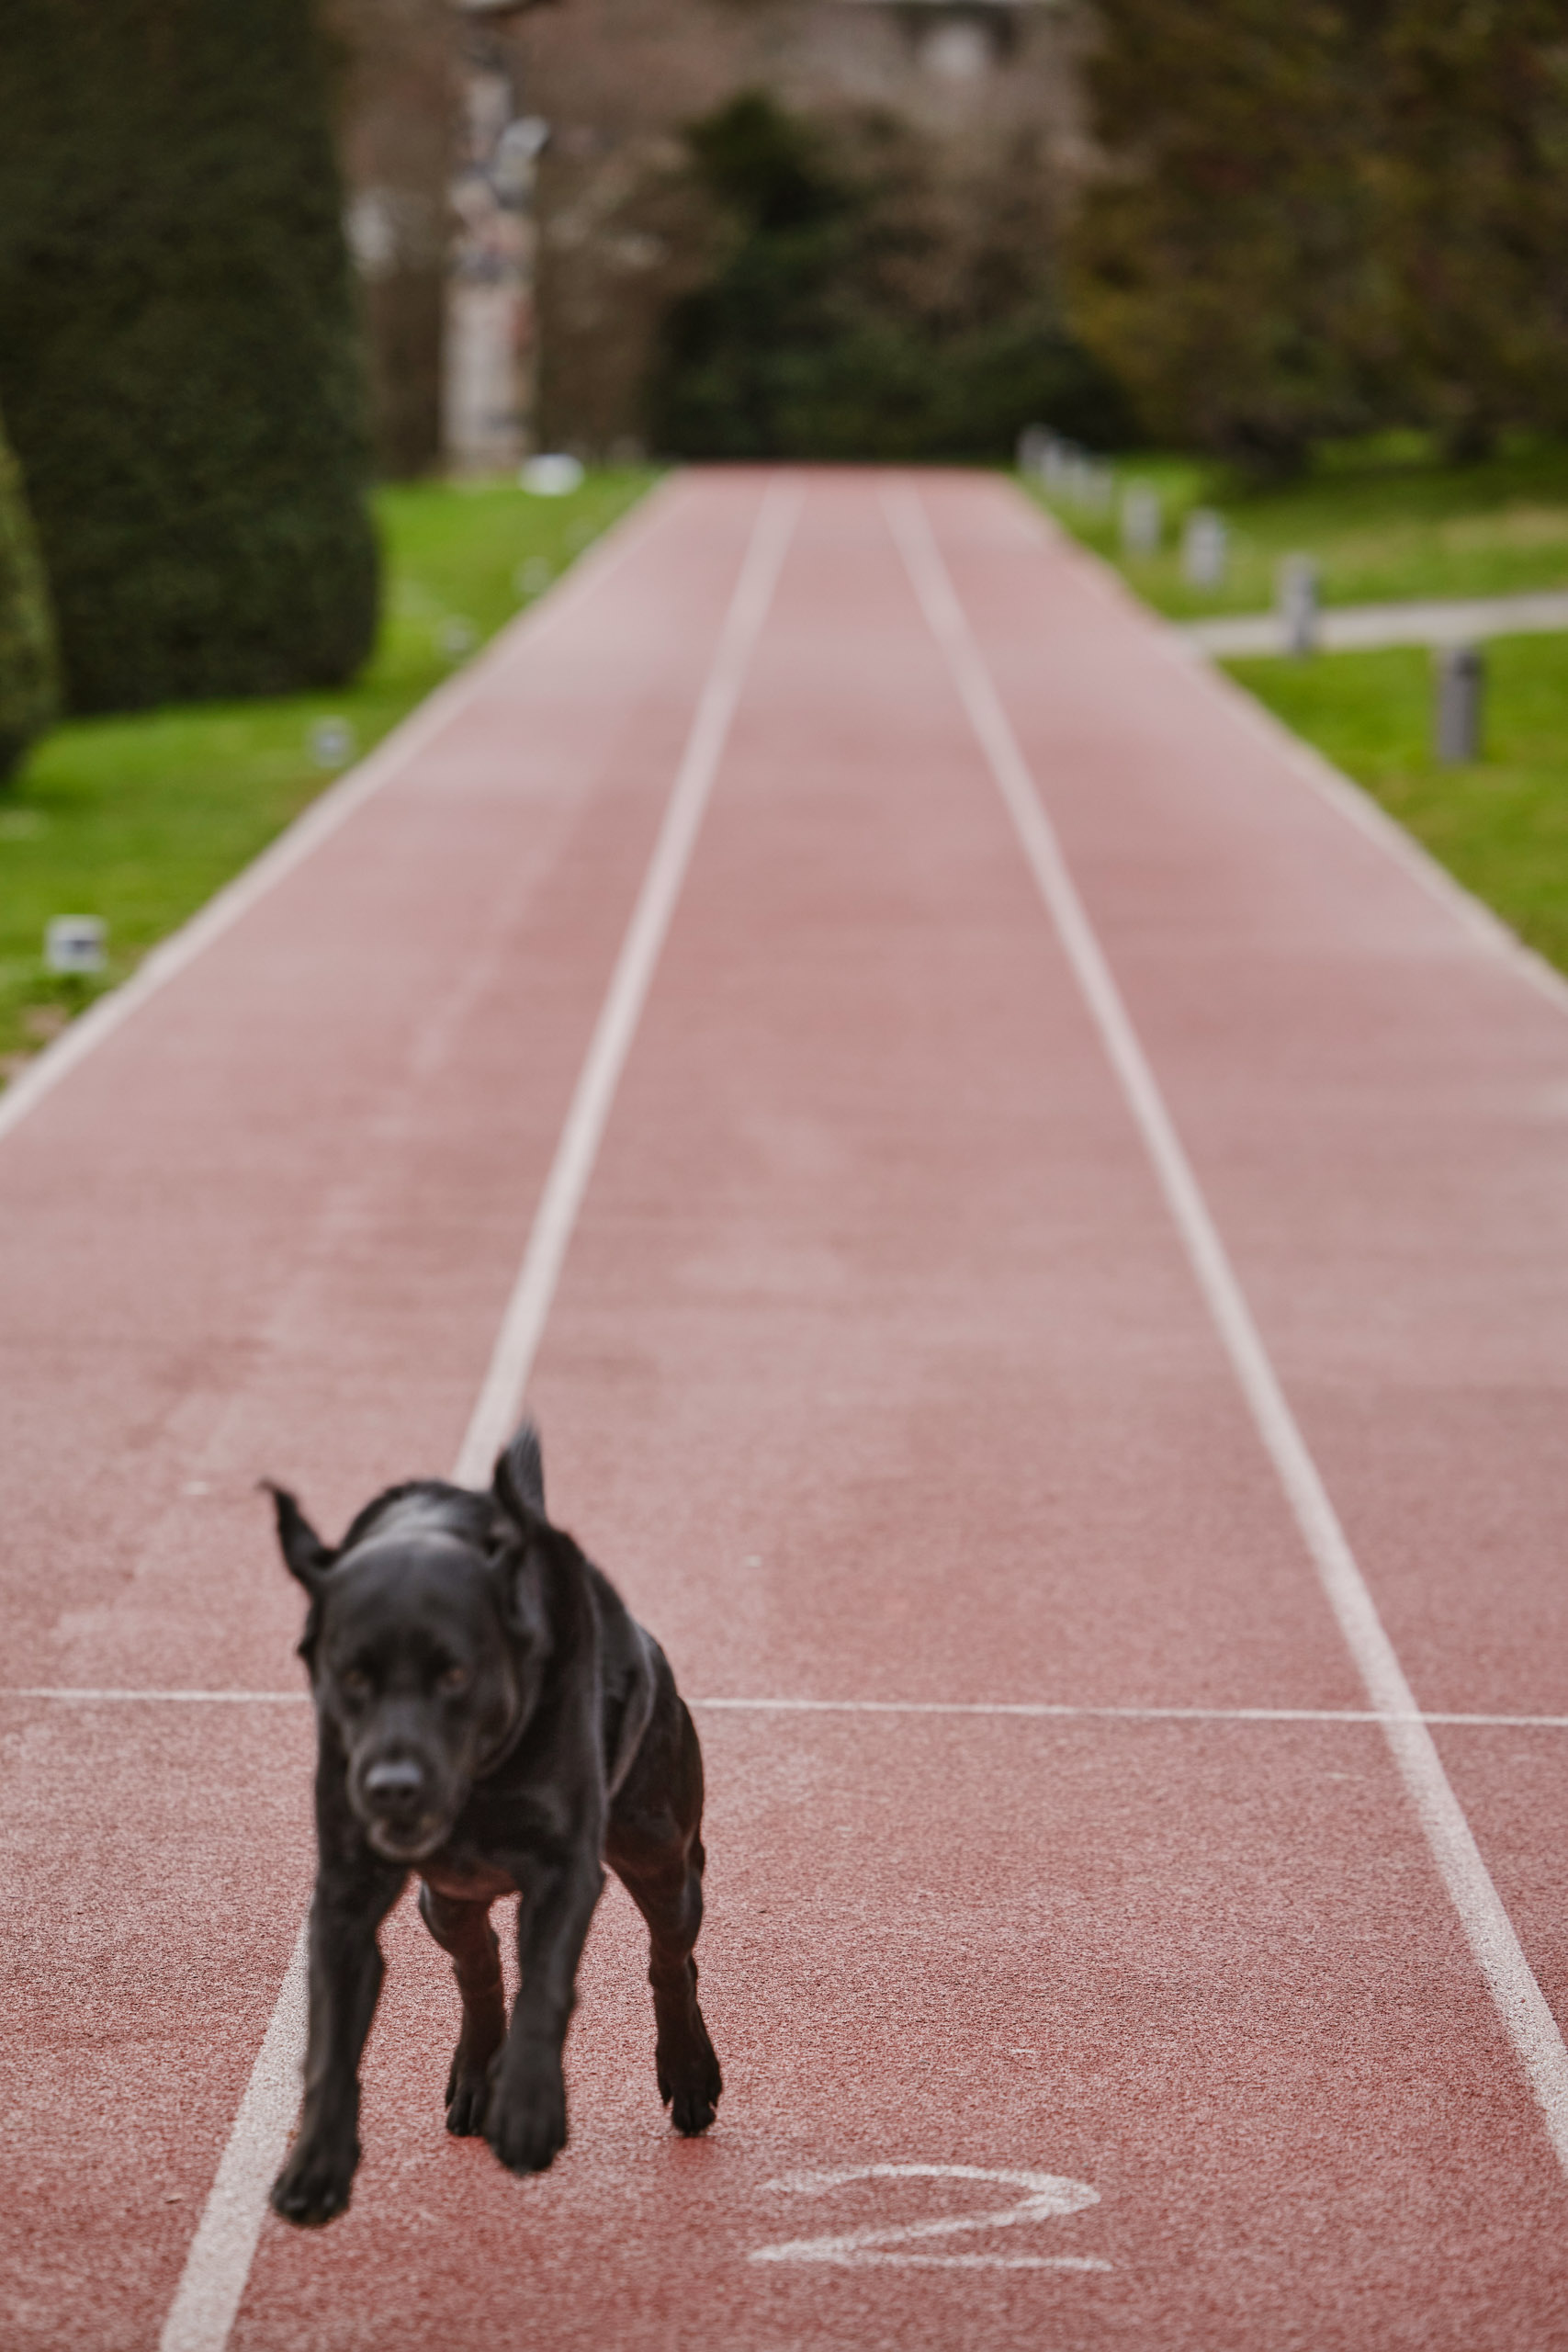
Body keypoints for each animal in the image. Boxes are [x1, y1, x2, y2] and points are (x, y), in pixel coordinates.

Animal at [265, 1411, 724, 2220]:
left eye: (455, 1673)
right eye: (351, 1675)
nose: (391, 1786)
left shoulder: (565, 1871)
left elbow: (546, 1986)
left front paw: (532, 2108)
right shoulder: (346, 1894)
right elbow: (331, 2038)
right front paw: (317, 2161)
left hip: (659, 1853)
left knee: (671, 1956)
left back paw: (689, 2072)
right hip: (444, 1899)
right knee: (475, 1964)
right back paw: (479, 2075)